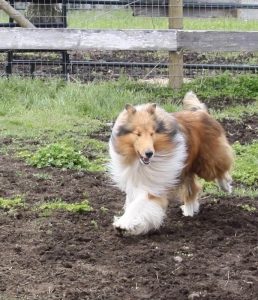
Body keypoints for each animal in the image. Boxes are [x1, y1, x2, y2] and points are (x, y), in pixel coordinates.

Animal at [109, 91, 234, 234]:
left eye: (152, 133)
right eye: (138, 134)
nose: (149, 153)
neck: (140, 163)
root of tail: (201, 112)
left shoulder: (154, 185)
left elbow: (138, 204)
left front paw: (123, 223)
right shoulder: (136, 181)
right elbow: (132, 202)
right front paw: (131, 224)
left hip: (206, 162)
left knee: (219, 169)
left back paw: (226, 186)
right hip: (185, 168)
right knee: (193, 188)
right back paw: (189, 211)